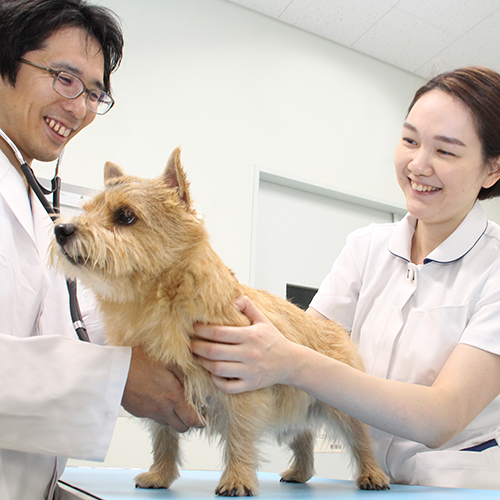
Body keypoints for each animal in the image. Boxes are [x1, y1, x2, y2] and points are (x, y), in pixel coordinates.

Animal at [52, 148, 390, 496]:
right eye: (87, 209)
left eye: (125, 216)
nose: (61, 229)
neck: (161, 296)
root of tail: (335, 328)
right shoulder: (159, 390)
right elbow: (163, 437)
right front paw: (160, 475)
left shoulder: (241, 386)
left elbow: (239, 437)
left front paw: (237, 479)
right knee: (303, 436)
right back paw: (300, 471)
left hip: (344, 405)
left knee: (360, 441)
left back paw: (372, 475)